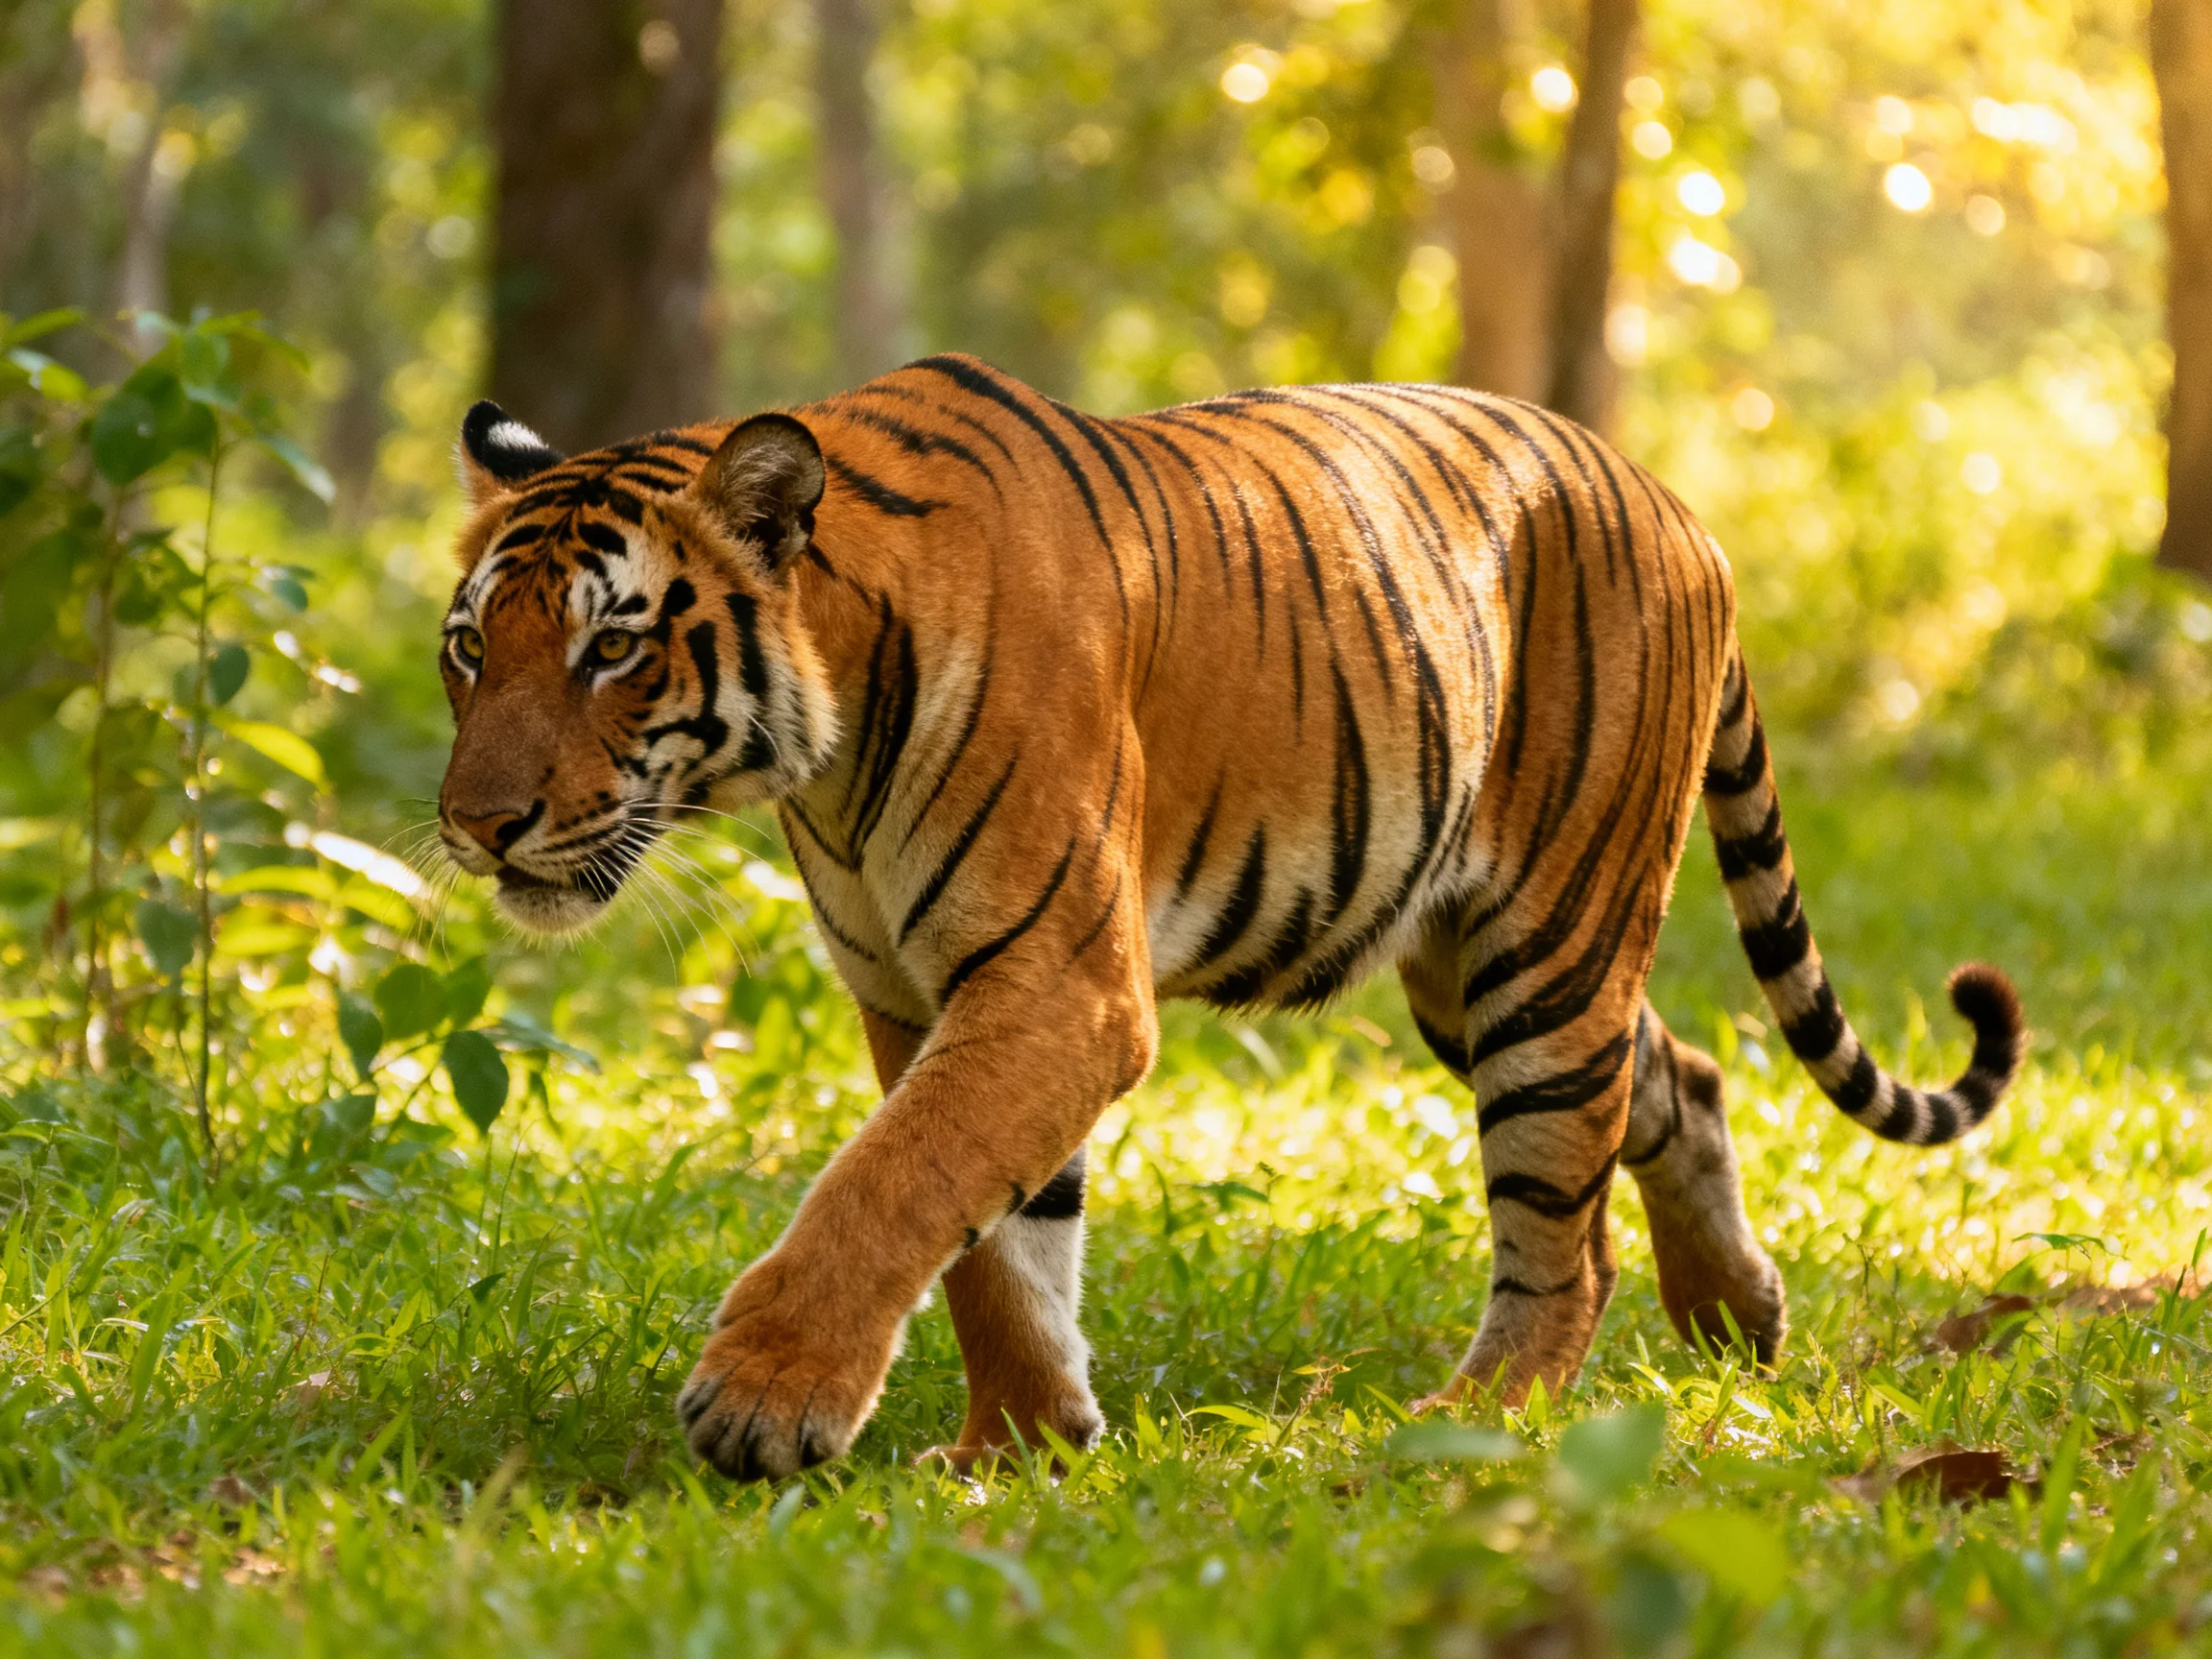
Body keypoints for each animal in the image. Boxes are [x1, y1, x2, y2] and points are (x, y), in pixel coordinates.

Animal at [435, 356, 2023, 1481]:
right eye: (468, 649)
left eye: (610, 648)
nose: (473, 824)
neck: (818, 747)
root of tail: (1674, 502)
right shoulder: (917, 992)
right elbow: (994, 1238)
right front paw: (1020, 1445)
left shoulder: (1058, 982)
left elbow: (891, 1183)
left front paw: (766, 1401)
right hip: (1470, 966)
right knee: (1676, 1077)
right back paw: (1735, 1319)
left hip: (1547, 945)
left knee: (1563, 1244)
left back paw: (1470, 1418)